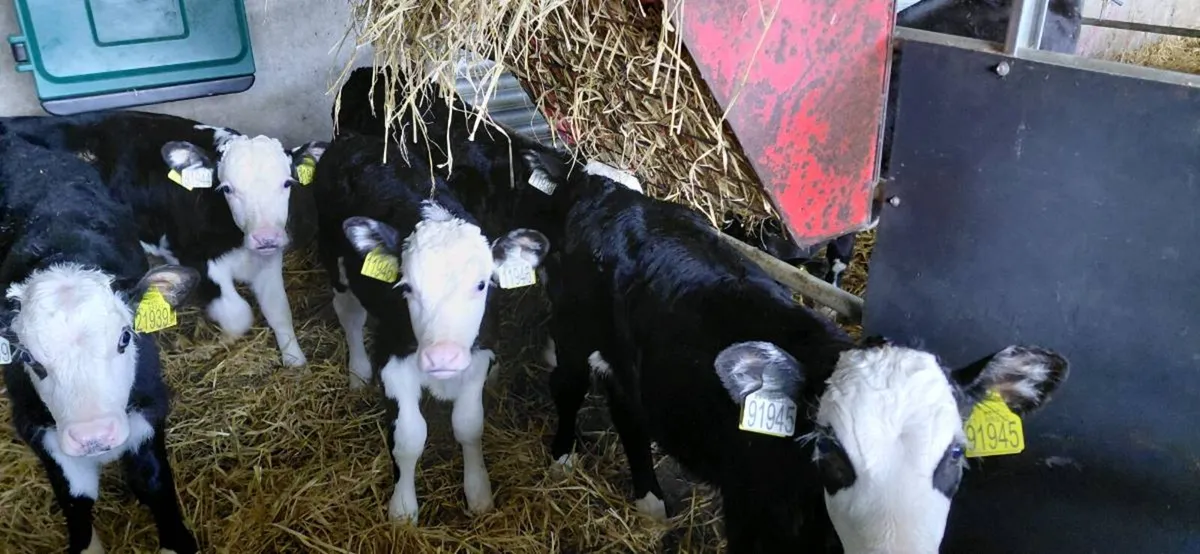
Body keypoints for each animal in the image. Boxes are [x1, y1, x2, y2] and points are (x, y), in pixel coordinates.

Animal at [0, 111, 327, 367]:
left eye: (287, 183)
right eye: (227, 188)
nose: (266, 237)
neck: (233, 238)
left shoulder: (267, 261)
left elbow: (279, 311)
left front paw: (295, 361)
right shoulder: (196, 260)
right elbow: (238, 314)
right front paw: (218, 343)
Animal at [0, 125, 200, 554]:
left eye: (125, 338)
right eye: (31, 359)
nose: (94, 437)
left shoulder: (150, 405)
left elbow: (151, 480)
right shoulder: (35, 427)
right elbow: (74, 498)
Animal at [310, 130, 550, 522]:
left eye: (482, 284)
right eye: (407, 287)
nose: (443, 358)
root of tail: (356, 137)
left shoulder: (478, 356)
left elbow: (468, 425)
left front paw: (478, 493)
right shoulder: (392, 358)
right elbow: (409, 437)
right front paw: (403, 509)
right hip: (334, 256)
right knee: (349, 313)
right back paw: (358, 372)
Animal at [517, 150, 1069, 553]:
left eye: (956, 452)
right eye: (830, 450)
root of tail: (602, 191)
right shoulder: (751, 517)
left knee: (628, 411)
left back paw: (650, 501)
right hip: (572, 331)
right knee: (567, 387)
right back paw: (562, 457)